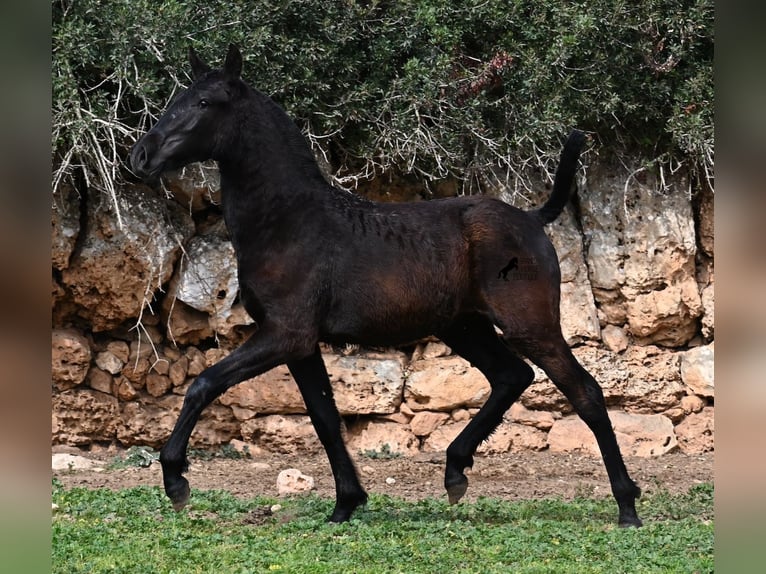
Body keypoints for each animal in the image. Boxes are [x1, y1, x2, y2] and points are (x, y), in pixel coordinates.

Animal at [130, 47, 640, 528]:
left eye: (204, 102)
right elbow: (325, 419)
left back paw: (627, 506)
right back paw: (455, 472)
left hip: (529, 324)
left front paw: (176, 481)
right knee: (512, 376)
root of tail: (532, 218)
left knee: (584, 392)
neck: (290, 222)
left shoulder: (285, 334)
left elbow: (203, 384)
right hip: (464, 327)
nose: (141, 156)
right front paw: (346, 504)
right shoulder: (301, 345)